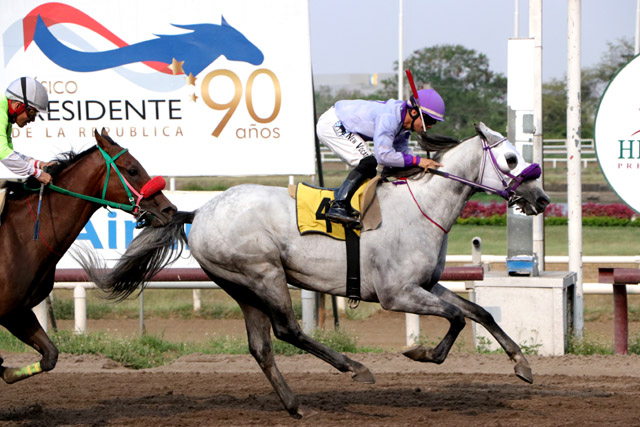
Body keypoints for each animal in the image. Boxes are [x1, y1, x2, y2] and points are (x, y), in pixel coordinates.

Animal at [0, 130, 175, 384]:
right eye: (132, 170)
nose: (168, 209)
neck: (20, 236)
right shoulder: (10, 311)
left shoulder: (17, 311)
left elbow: (50, 356)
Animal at [77, 123, 552, 418]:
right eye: (512, 158)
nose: (543, 199)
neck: (423, 207)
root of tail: (200, 211)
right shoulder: (397, 293)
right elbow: (455, 318)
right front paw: (422, 354)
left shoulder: (427, 284)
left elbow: (479, 312)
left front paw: (522, 365)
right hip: (264, 273)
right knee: (287, 330)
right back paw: (355, 368)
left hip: (240, 286)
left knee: (261, 346)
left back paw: (294, 404)